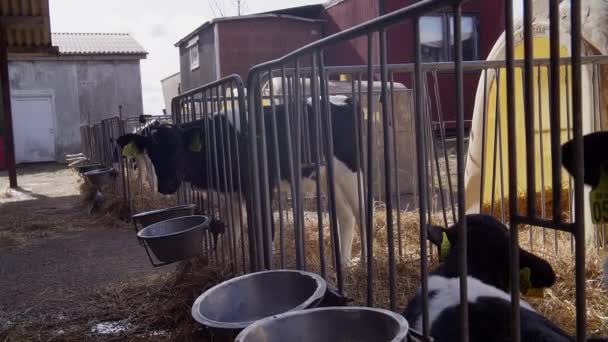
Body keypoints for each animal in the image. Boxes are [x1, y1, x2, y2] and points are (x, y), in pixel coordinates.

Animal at [116, 95, 366, 268]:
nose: (165, 186)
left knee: (361, 211)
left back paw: (363, 261)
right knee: (346, 216)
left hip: (351, 171)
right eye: (151, 152)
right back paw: (343, 263)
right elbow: (231, 237)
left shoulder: (260, 188)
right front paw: (231, 267)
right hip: (329, 178)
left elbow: (266, 232)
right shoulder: (229, 195)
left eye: (178, 149)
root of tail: (346, 99)